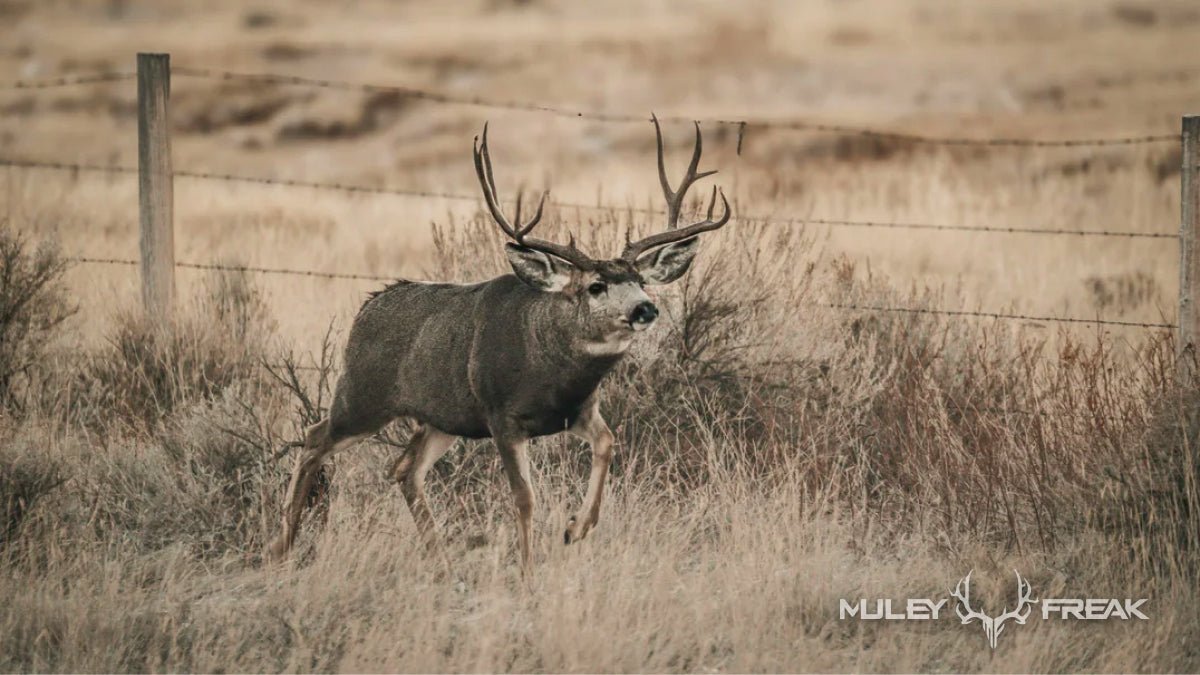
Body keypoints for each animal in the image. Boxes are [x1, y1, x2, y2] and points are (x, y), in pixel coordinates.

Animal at [267, 115, 731, 569]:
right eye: (596, 286)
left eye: (639, 281)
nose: (644, 309)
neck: (552, 374)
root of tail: (367, 305)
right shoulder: (501, 416)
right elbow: (523, 497)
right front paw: (528, 569)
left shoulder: (580, 411)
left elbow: (608, 443)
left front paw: (575, 528)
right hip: (363, 396)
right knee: (315, 439)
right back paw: (282, 546)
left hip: (442, 418)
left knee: (404, 468)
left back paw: (439, 559)